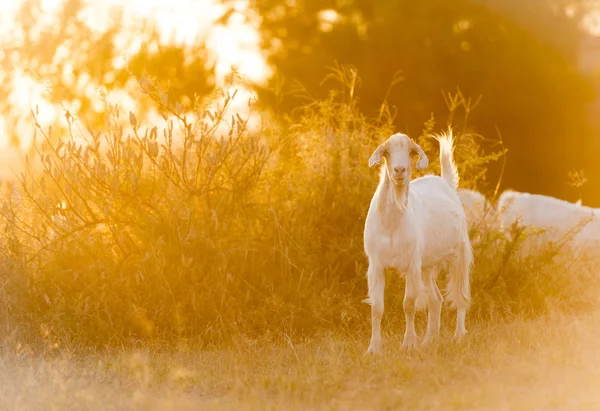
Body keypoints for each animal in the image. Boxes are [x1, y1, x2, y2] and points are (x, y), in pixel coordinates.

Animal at [364, 130, 472, 354]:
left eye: (411, 152)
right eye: (387, 152)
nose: (399, 170)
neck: (392, 222)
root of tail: (446, 184)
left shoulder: (412, 265)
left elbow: (409, 304)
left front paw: (408, 343)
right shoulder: (376, 266)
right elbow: (377, 308)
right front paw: (374, 348)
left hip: (459, 253)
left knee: (460, 296)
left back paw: (458, 335)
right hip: (428, 264)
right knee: (436, 299)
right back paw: (430, 340)